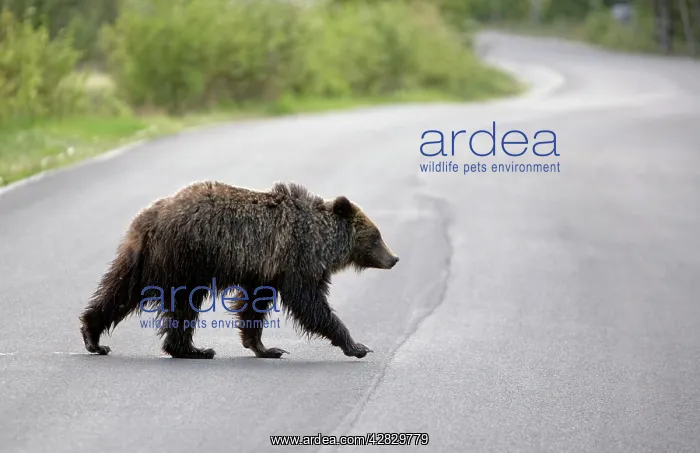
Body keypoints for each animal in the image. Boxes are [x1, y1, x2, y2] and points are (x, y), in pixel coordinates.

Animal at [79, 180, 399, 359]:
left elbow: (253, 308)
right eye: (376, 236)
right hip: (186, 259)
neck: (321, 240)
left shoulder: (264, 272)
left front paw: (264, 348)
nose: (394, 258)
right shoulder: (296, 260)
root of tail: (149, 218)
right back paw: (195, 350)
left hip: (145, 259)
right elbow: (309, 304)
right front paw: (356, 345)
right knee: (182, 305)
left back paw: (93, 336)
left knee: (121, 289)